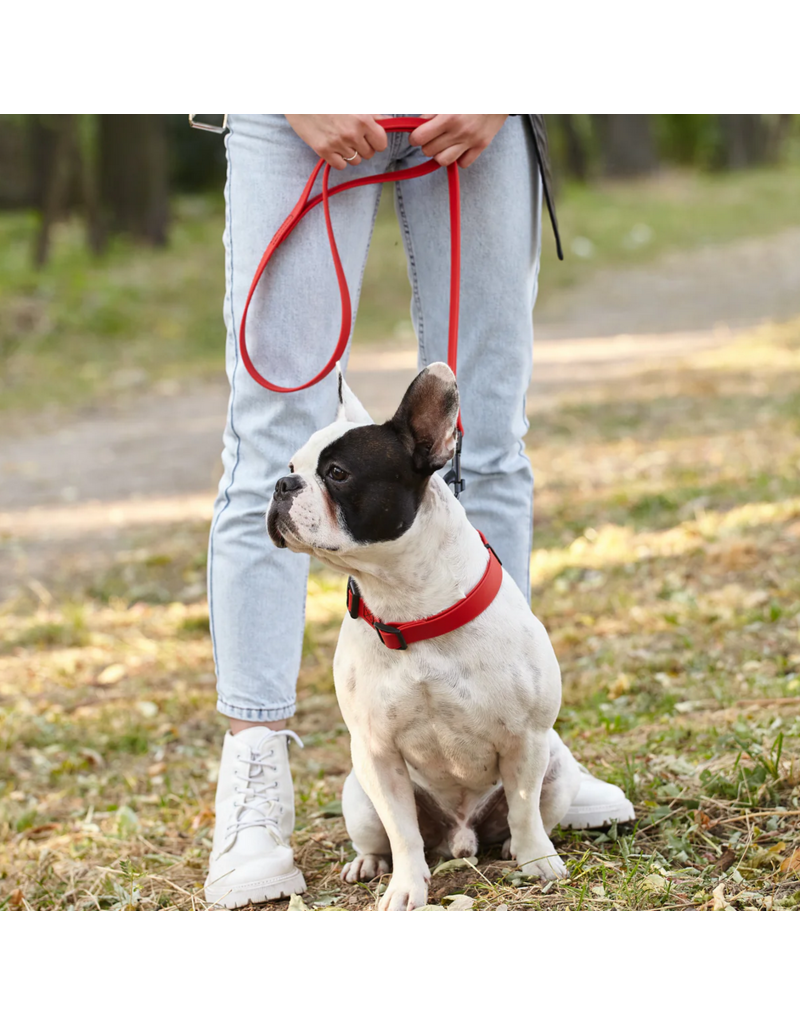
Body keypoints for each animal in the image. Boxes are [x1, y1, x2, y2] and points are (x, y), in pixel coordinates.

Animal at [268, 364, 581, 909]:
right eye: (291, 465)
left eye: (337, 473)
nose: (282, 483)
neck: (408, 608)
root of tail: (461, 837)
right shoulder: (376, 754)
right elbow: (403, 831)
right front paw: (406, 887)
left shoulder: (527, 739)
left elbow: (523, 808)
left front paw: (539, 863)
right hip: (356, 791)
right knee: (384, 835)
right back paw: (370, 863)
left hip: (558, 767)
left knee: (523, 817)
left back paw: (514, 849)